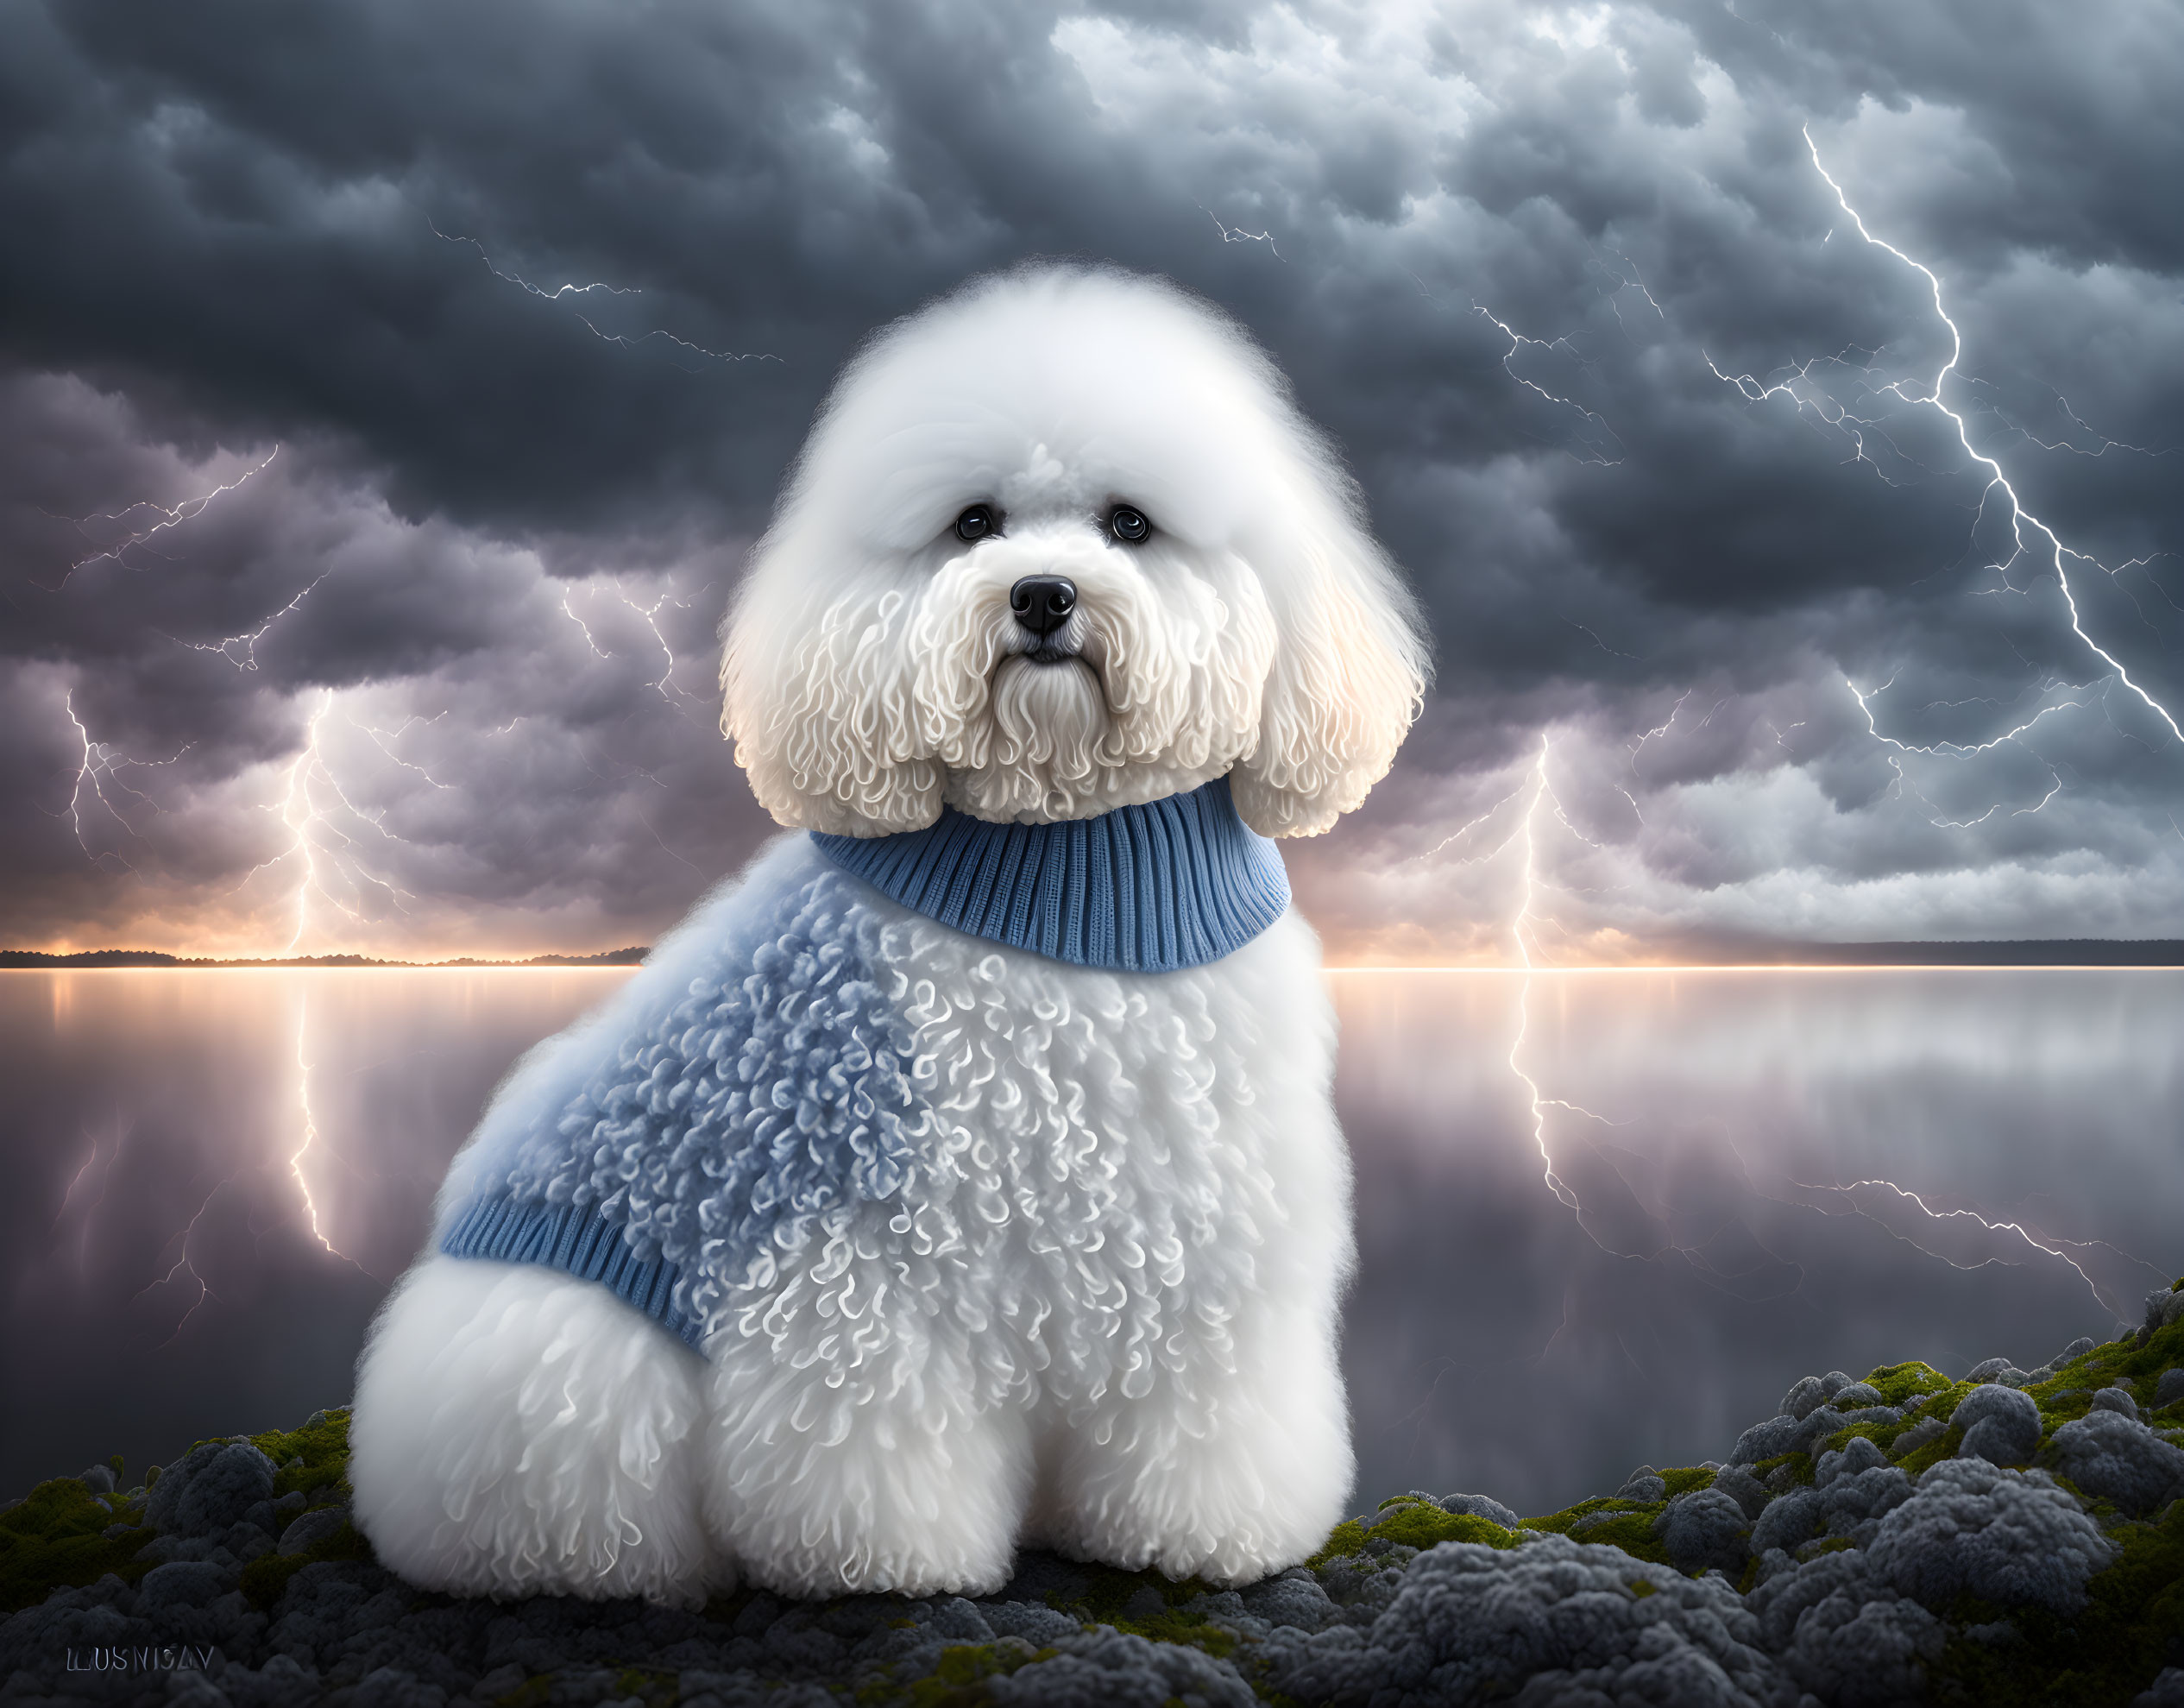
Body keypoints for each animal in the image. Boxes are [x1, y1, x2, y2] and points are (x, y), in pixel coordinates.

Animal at [349, 264, 1424, 1607]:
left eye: (1129, 524)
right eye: (972, 524)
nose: (1041, 593)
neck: (1067, 872)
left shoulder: (1205, 1245)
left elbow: (1196, 1412)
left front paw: (1198, 1533)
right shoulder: (858, 1244)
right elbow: (865, 1421)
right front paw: (882, 1561)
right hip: (565, 1343)